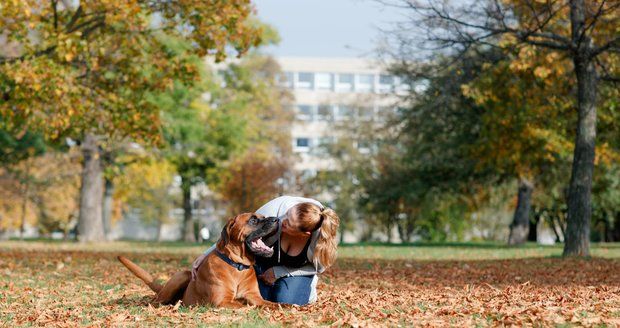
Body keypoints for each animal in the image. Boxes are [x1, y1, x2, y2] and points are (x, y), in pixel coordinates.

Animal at [117, 213, 280, 308]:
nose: (276, 219)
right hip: (183, 275)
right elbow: (246, 306)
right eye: (253, 220)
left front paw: (284, 307)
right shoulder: (222, 301)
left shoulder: (256, 298)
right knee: (154, 301)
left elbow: (276, 304)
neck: (238, 266)